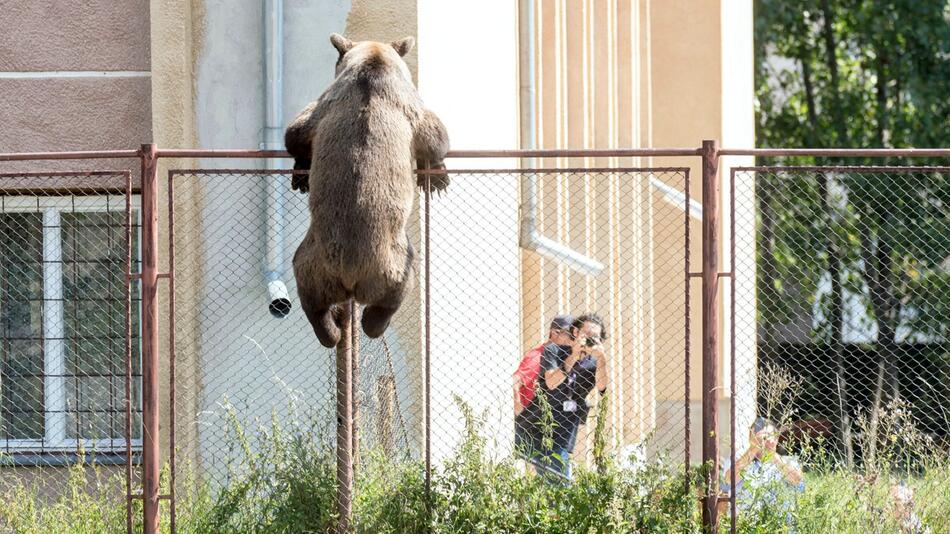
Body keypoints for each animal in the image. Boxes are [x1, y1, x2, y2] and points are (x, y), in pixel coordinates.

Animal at [284, 34, 452, 352]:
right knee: (399, 287)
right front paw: (438, 176)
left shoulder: (325, 108)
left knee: (311, 297)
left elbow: (297, 134)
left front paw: (301, 173)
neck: (373, 63)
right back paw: (370, 323)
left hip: (313, 259)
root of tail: (349, 277)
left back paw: (330, 329)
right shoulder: (404, 104)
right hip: (389, 262)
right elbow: (434, 132)